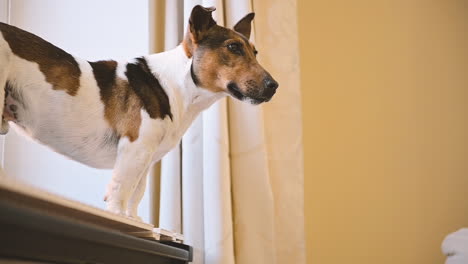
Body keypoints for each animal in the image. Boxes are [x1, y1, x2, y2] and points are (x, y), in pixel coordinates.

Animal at [0, 6, 278, 220]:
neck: (177, 84)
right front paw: (118, 218)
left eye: (255, 52)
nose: (274, 86)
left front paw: (135, 221)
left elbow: (135, 195)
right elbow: (120, 194)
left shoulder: (145, 159)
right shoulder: (134, 149)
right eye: (233, 47)